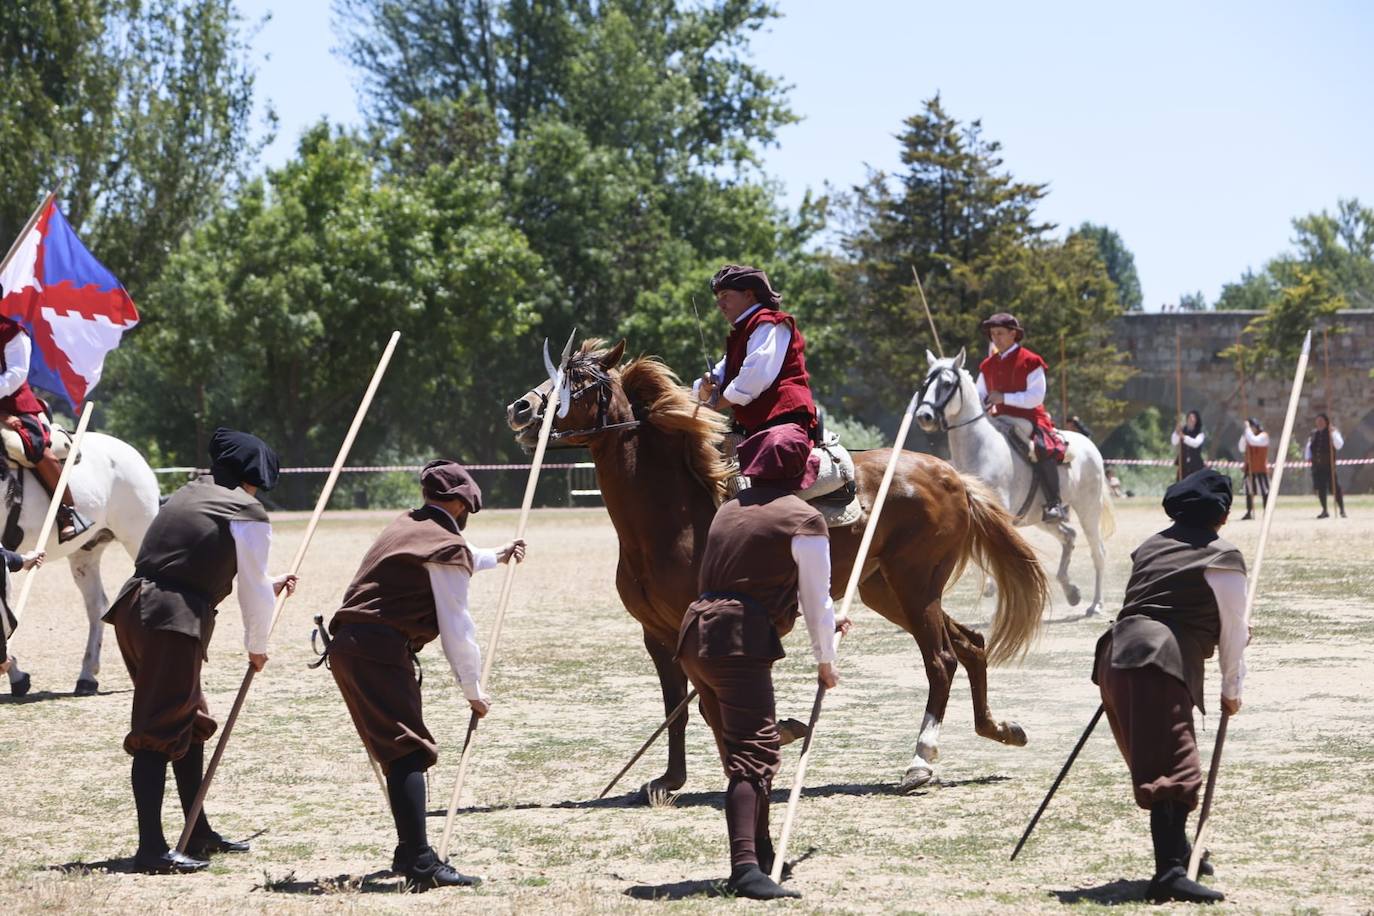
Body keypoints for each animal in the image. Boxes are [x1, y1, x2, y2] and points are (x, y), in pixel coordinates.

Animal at [511, 343, 1044, 796]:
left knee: (942, 660)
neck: (673, 515)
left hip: (916, 586)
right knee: (971, 644)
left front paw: (768, 744)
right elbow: (679, 707)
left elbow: (709, 703)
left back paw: (920, 761)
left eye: (582, 380)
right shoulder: (656, 634)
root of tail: (950, 475)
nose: (521, 408)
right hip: (887, 590)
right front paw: (671, 779)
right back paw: (1000, 729)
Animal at [912, 351, 1115, 615]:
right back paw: (1071, 591)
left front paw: (993, 589)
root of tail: (1089, 445)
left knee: (1097, 551)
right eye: (925, 383)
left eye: (947, 384)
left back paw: (1096, 604)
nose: (923, 416)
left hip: (1088, 509)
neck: (979, 449)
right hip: (1042, 518)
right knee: (1068, 536)